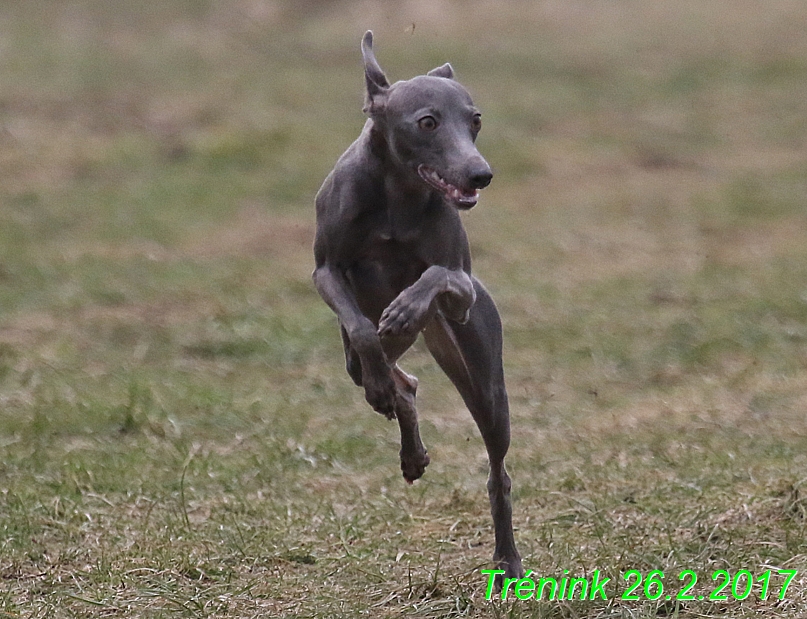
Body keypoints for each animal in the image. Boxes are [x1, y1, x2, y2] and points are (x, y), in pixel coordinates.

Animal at [310, 29, 524, 580]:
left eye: (475, 119)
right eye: (427, 122)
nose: (480, 175)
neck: (397, 196)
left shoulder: (463, 294)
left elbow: (438, 275)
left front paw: (406, 308)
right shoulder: (326, 272)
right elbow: (364, 330)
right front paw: (384, 360)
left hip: (485, 383)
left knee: (498, 471)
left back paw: (508, 558)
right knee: (390, 379)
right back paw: (401, 425)